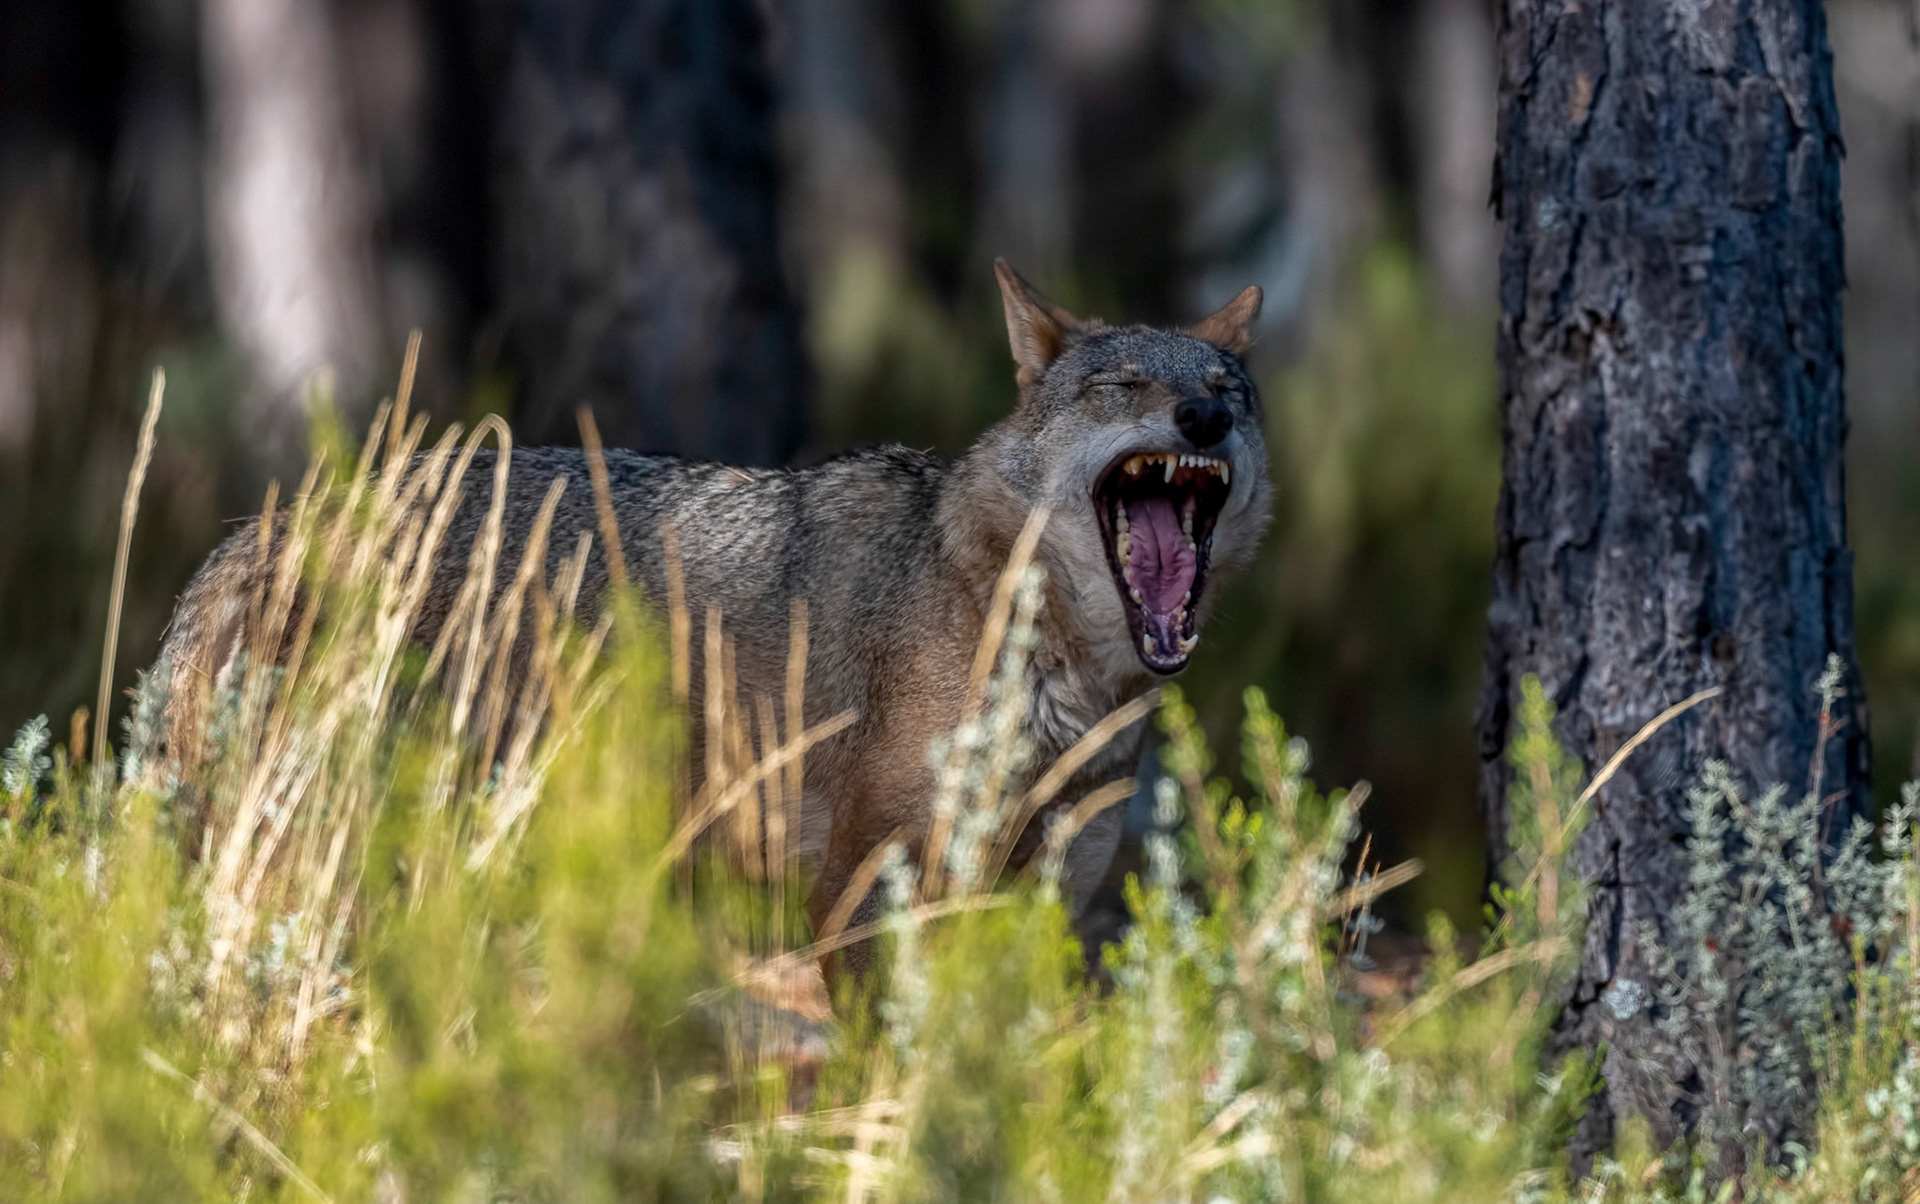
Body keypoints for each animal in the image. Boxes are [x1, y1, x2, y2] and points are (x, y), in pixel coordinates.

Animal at [154, 261, 1272, 964]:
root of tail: (266, 527)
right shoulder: (859, 896)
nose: (1202, 417)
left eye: (1230, 389)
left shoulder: (1038, 909)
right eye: (1124, 382)